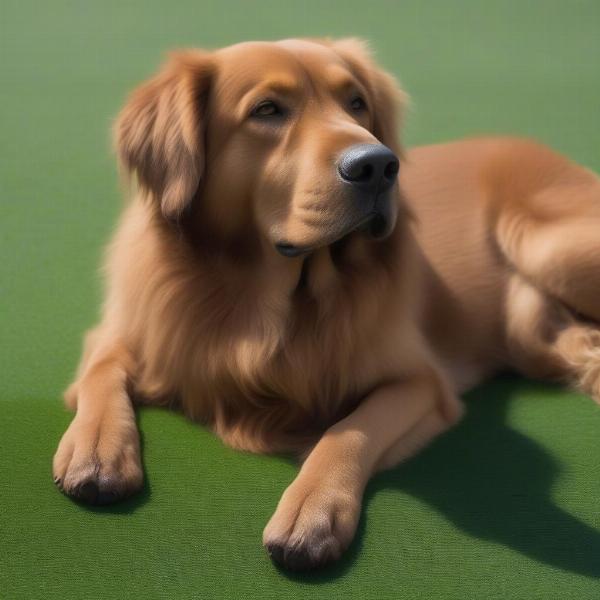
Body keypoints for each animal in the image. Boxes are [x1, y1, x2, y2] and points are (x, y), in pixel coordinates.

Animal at [52, 38, 600, 572]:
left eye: (356, 103)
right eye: (267, 110)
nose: (378, 165)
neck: (265, 302)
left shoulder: (422, 383)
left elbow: (348, 429)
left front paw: (312, 510)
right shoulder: (124, 331)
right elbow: (102, 372)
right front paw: (97, 449)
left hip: (547, 247)